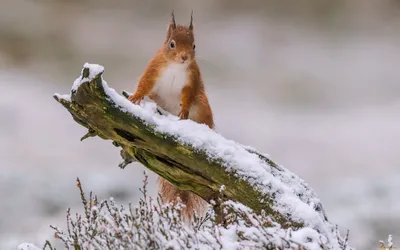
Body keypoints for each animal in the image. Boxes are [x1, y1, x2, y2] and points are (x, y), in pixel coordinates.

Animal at [130, 12, 214, 223]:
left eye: (194, 45)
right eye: (172, 44)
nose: (184, 57)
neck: (176, 66)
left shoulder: (191, 79)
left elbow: (187, 96)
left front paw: (183, 111)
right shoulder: (154, 68)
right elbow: (144, 84)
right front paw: (135, 97)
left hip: (202, 106)